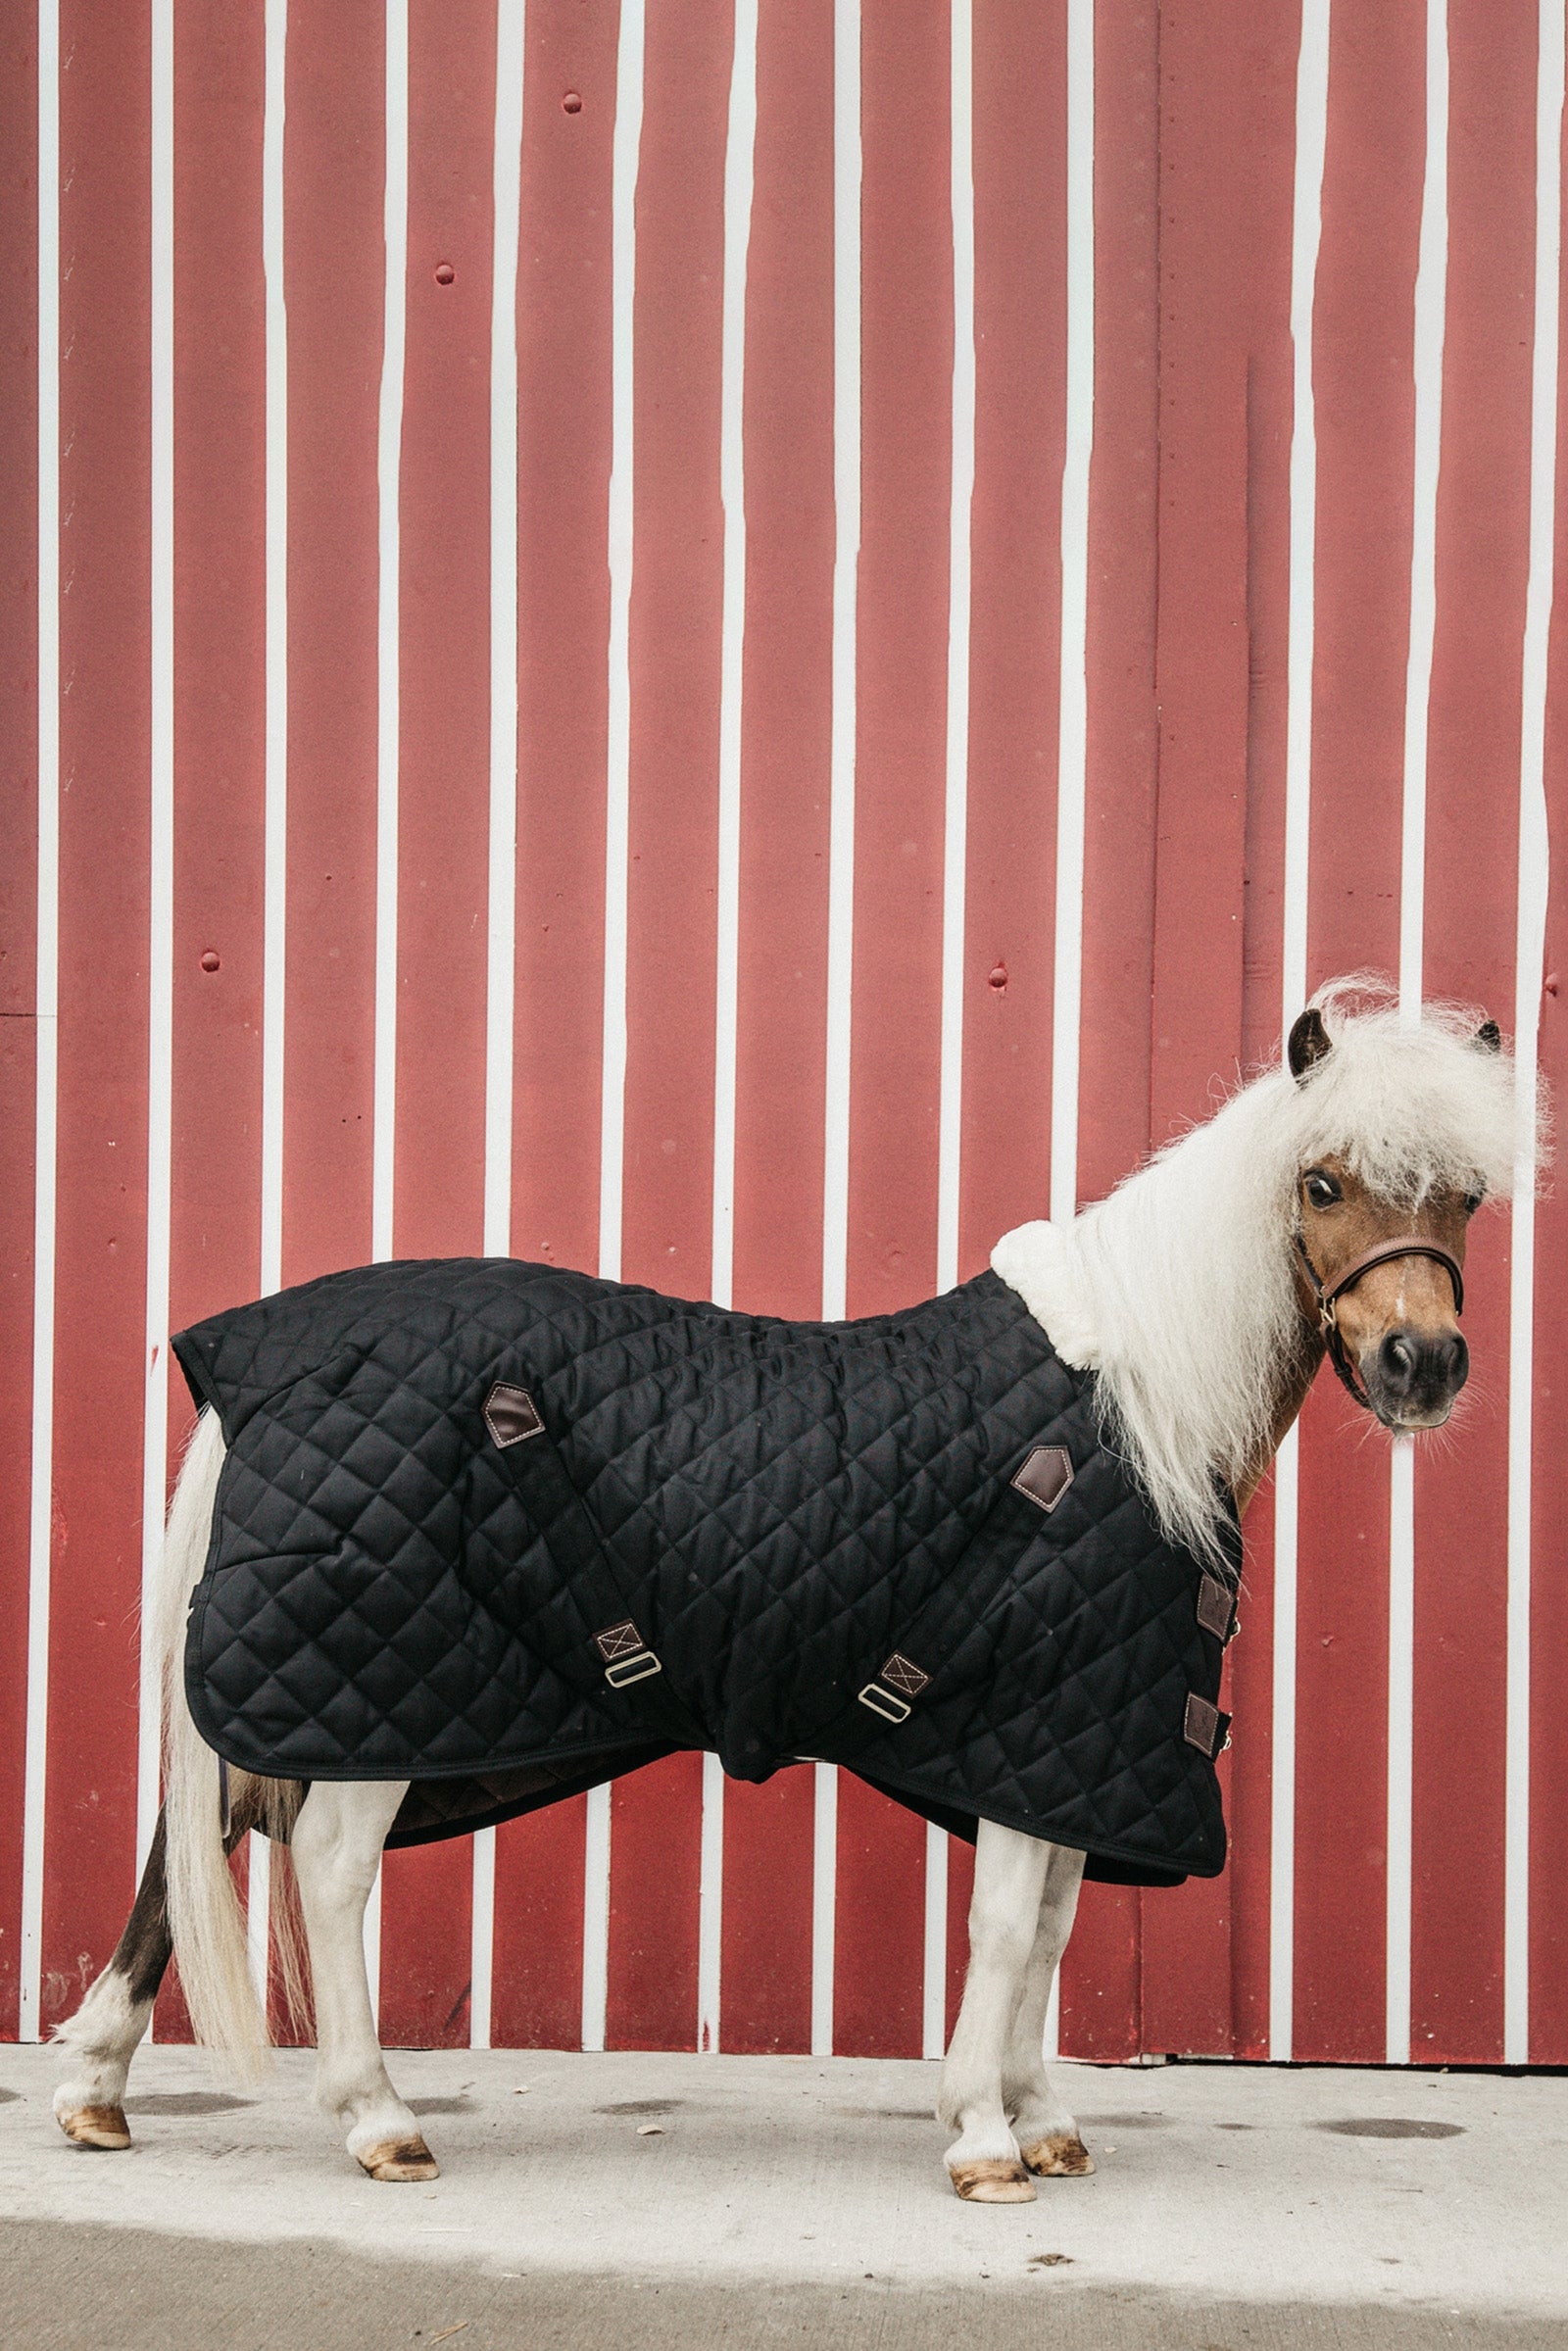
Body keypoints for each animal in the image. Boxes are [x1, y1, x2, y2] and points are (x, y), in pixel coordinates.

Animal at [49, 982, 1528, 2203]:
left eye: (1464, 1192)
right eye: (1322, 1180)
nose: (1421, 1364)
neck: (1135, 1406)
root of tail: (263, 1357)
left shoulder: (1076, 1751)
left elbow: (1053, 1926)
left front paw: (1044, 2118)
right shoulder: (1028, 1726)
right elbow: (1009, 1929)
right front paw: (983, 2137)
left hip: (335, 1688)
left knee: (204, 1829)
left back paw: (97, 2087)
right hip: (388, 1694)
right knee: (326, 1865)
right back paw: (377, 2117)